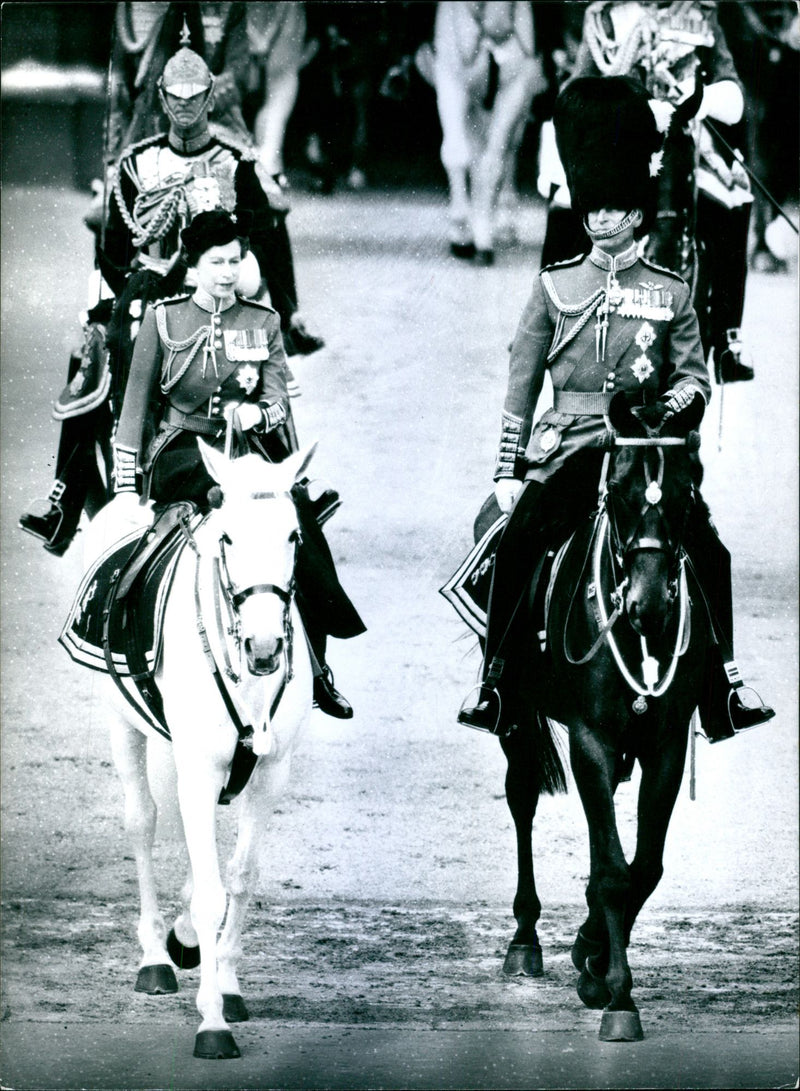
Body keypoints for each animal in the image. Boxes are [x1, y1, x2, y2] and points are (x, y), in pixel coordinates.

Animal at [84, 440, 314, 1056]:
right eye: (228, 538)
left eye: (294, 535)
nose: (265, 646)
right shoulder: (200, 766)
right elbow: (211, 889)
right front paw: (212, 1021)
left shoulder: (269, 772)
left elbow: (241, 876)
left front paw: (228, 987)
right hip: (123, 725)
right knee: (142, 821)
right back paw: (155, 958)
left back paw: (183, 940)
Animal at [430, 1, 543, 264]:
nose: (498, 28)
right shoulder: (451, 81)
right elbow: (456, 155)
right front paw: (461, 235)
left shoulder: (514, 90)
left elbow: (494, 164)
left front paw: (483, 238)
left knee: (509, 153)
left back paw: (503, 223)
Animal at [502, 392, 707, 1038]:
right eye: (616, 489)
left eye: (688, 488)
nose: (648, 606)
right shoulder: (589, 737)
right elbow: (616, 871)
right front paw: (616, 996)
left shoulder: (664, 744)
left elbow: (643, 867)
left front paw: (592, 956)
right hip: (518, 716)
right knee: (522, 798)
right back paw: (525, 939)